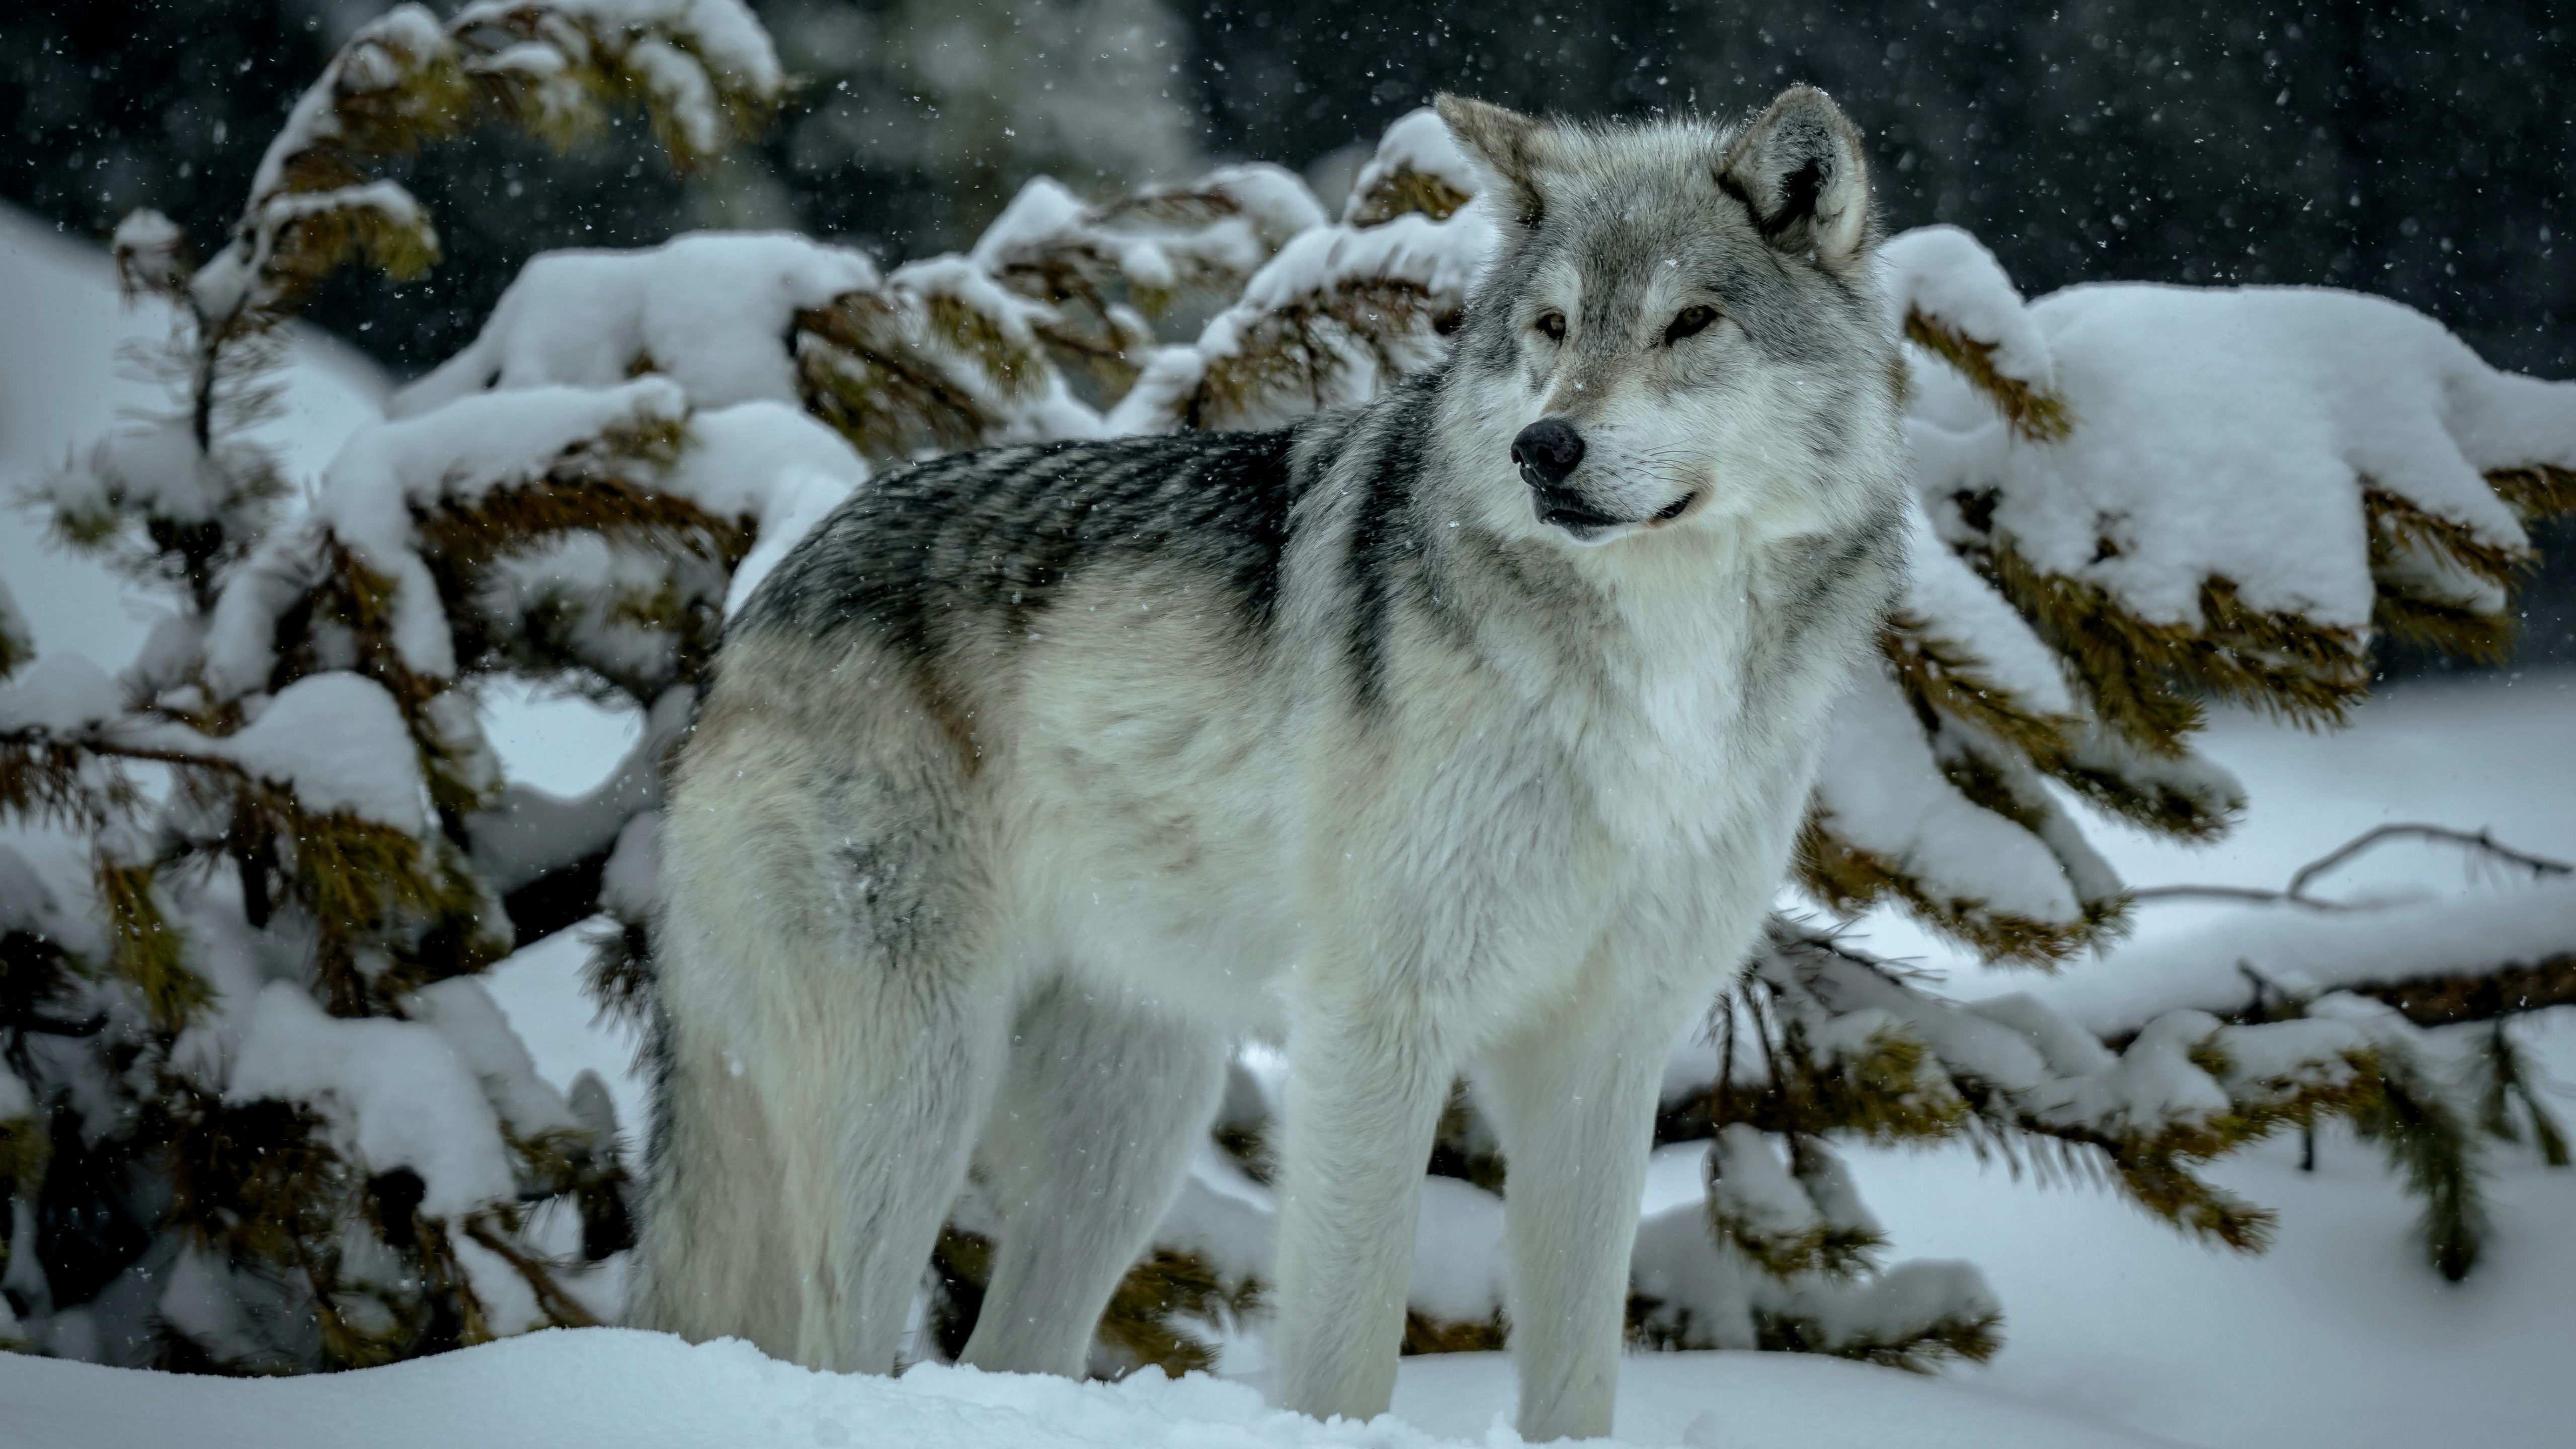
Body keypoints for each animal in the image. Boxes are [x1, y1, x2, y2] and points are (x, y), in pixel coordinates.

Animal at [627, 86, 1909, 1441]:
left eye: (1689, 322)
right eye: (1553, 326)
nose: (1543, 447)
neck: (1653, 675)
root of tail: (755, 608)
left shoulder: (1601, 1052)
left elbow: (1577, 1374)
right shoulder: (1375, 1022)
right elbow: (1348, 1350)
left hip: (1128, 1127)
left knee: (1009, 1349)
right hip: (916, 1091)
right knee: (842, 1346)